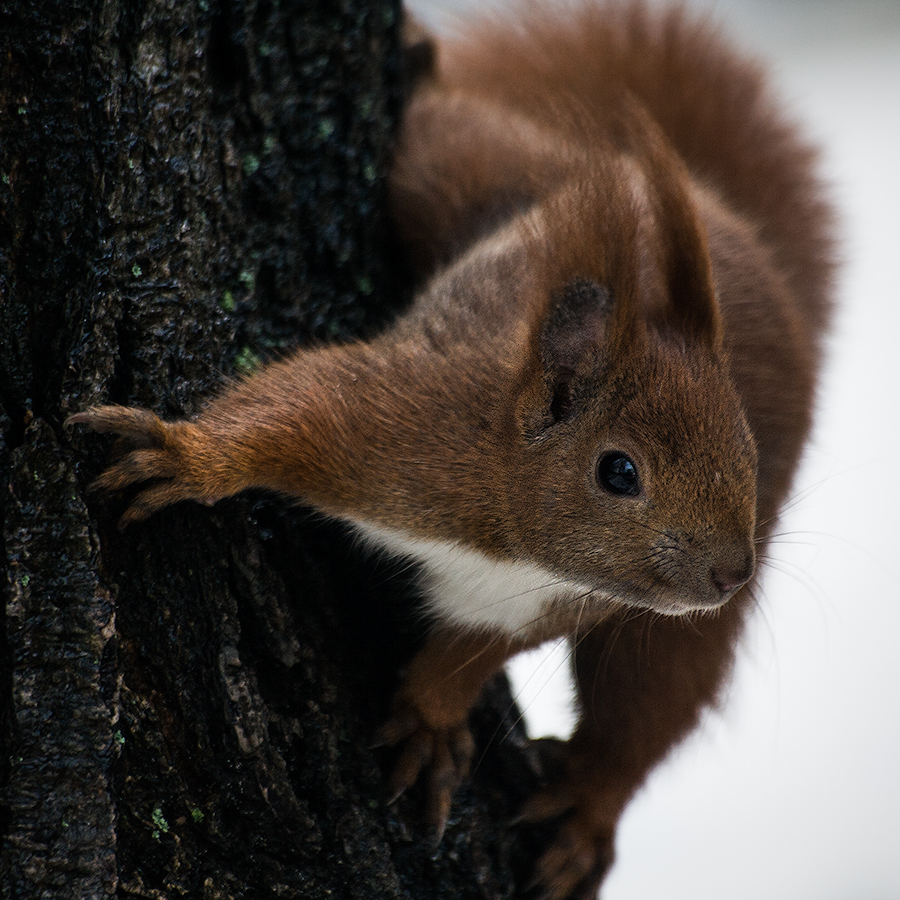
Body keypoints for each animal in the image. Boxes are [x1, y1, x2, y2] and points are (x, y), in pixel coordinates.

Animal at [67, 3, 832, 896]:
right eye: (619, 472)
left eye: (748, 451)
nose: (730, 573)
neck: (514, 546)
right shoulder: (410, 430)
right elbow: (299, 405)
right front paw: (190, 457)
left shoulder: (560, 602)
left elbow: (474, 655)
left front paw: (431, 716)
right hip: (478, 179)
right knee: (444, 134)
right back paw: (422, 61)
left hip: (680, 630)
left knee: (646, 709)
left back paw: (587, 811)